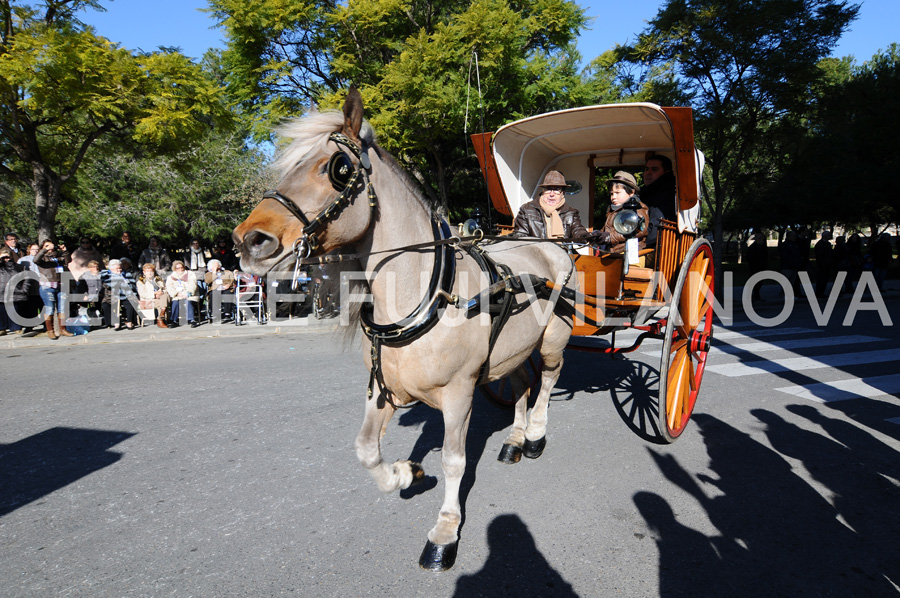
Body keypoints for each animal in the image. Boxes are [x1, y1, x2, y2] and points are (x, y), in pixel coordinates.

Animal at [232, 90, 576, 572]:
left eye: (338, 168)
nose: (248, 240)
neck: (428, 292)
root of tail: (549, 247)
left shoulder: (459, 393)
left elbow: (454, 460)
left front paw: (445, 532)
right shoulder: (382, 387)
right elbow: (365, 448)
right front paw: (405, 473)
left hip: (551, 341)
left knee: (547, 379)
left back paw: (535, 435)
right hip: (510, 352)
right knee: (523, 384)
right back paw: (513, 438)